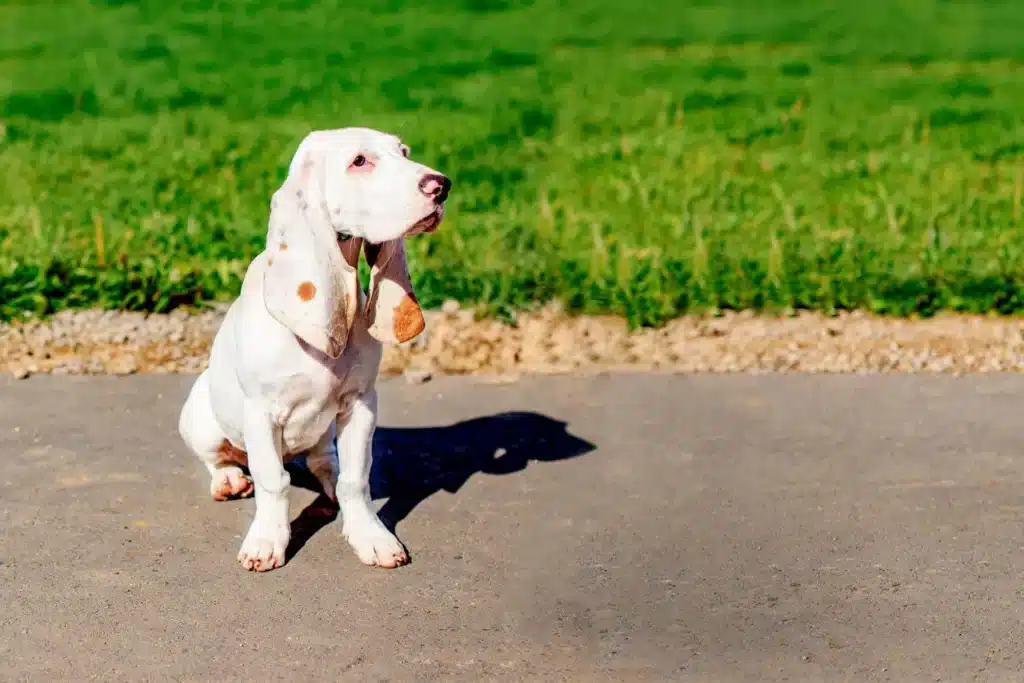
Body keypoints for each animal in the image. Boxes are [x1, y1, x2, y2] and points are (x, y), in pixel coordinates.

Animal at [178, 126, 450, 573]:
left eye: (404, 152)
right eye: (359, 161)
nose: (442, 186)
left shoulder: (361, 403)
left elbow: (356, 480)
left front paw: (371, 537)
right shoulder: (261, 413)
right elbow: (273, 481)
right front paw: (267, 542)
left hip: (324, 434)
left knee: (325, 464)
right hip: (200, 417)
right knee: (218, 458)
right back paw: (229, 480)